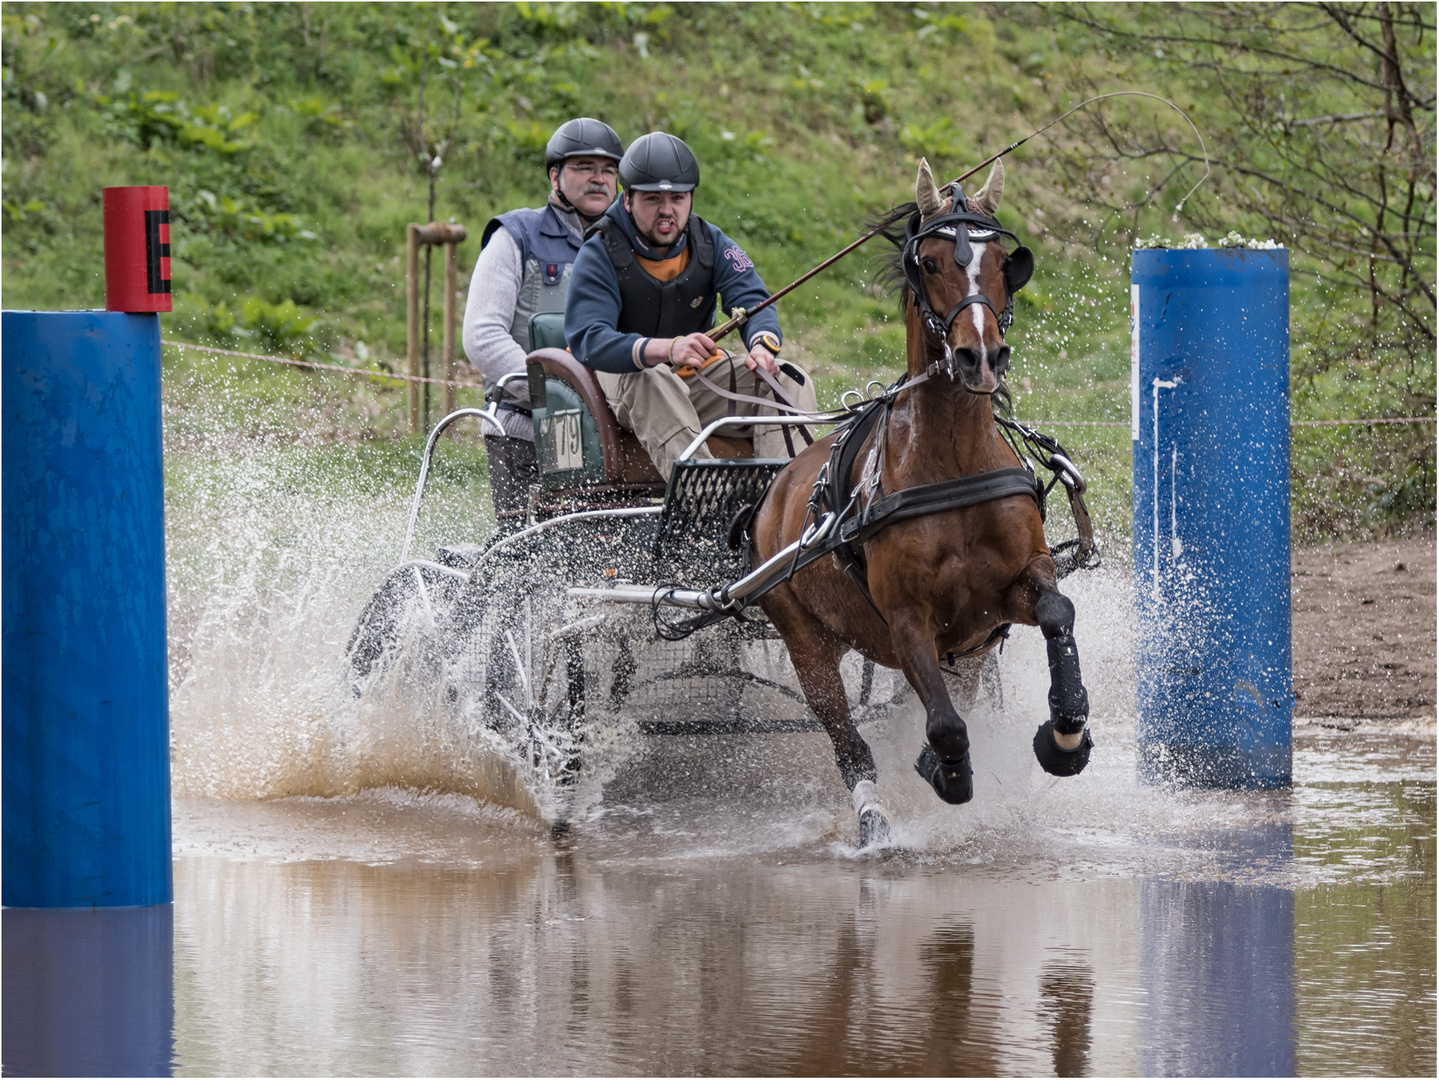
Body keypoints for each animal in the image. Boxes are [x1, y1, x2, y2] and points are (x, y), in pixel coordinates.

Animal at [754, 158, 1087, 845]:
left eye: (1004, 263)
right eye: (929, 263)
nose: (980, 355)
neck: (952, 464)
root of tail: (777, 485)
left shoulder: (1007, 594)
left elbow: (1057, 613)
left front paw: (1065, 735)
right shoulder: (908, 622)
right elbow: (947, 728)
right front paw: (941, 766)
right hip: (806, 644)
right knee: (849, 743)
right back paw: (873, 821)